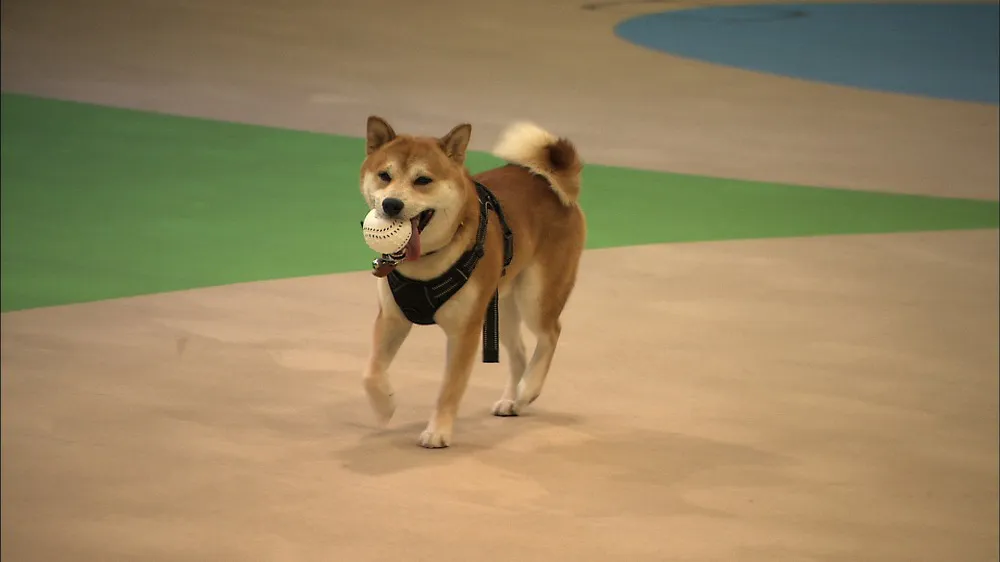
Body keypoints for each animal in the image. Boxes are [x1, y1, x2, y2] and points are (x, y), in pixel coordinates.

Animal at [360, 117, 584, 446]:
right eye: (384, 176)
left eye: (423, 180)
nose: (391, 204)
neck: (425, 264)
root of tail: (547, 180)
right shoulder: (392, 318)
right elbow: (371, 372)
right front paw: (385, 405)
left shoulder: (464, 331)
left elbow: (450, 387)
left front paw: (438, 431)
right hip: (501, 307)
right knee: (519, 353)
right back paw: (512, 400)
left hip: (535, 297)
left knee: (550, 334)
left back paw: (528, 389)